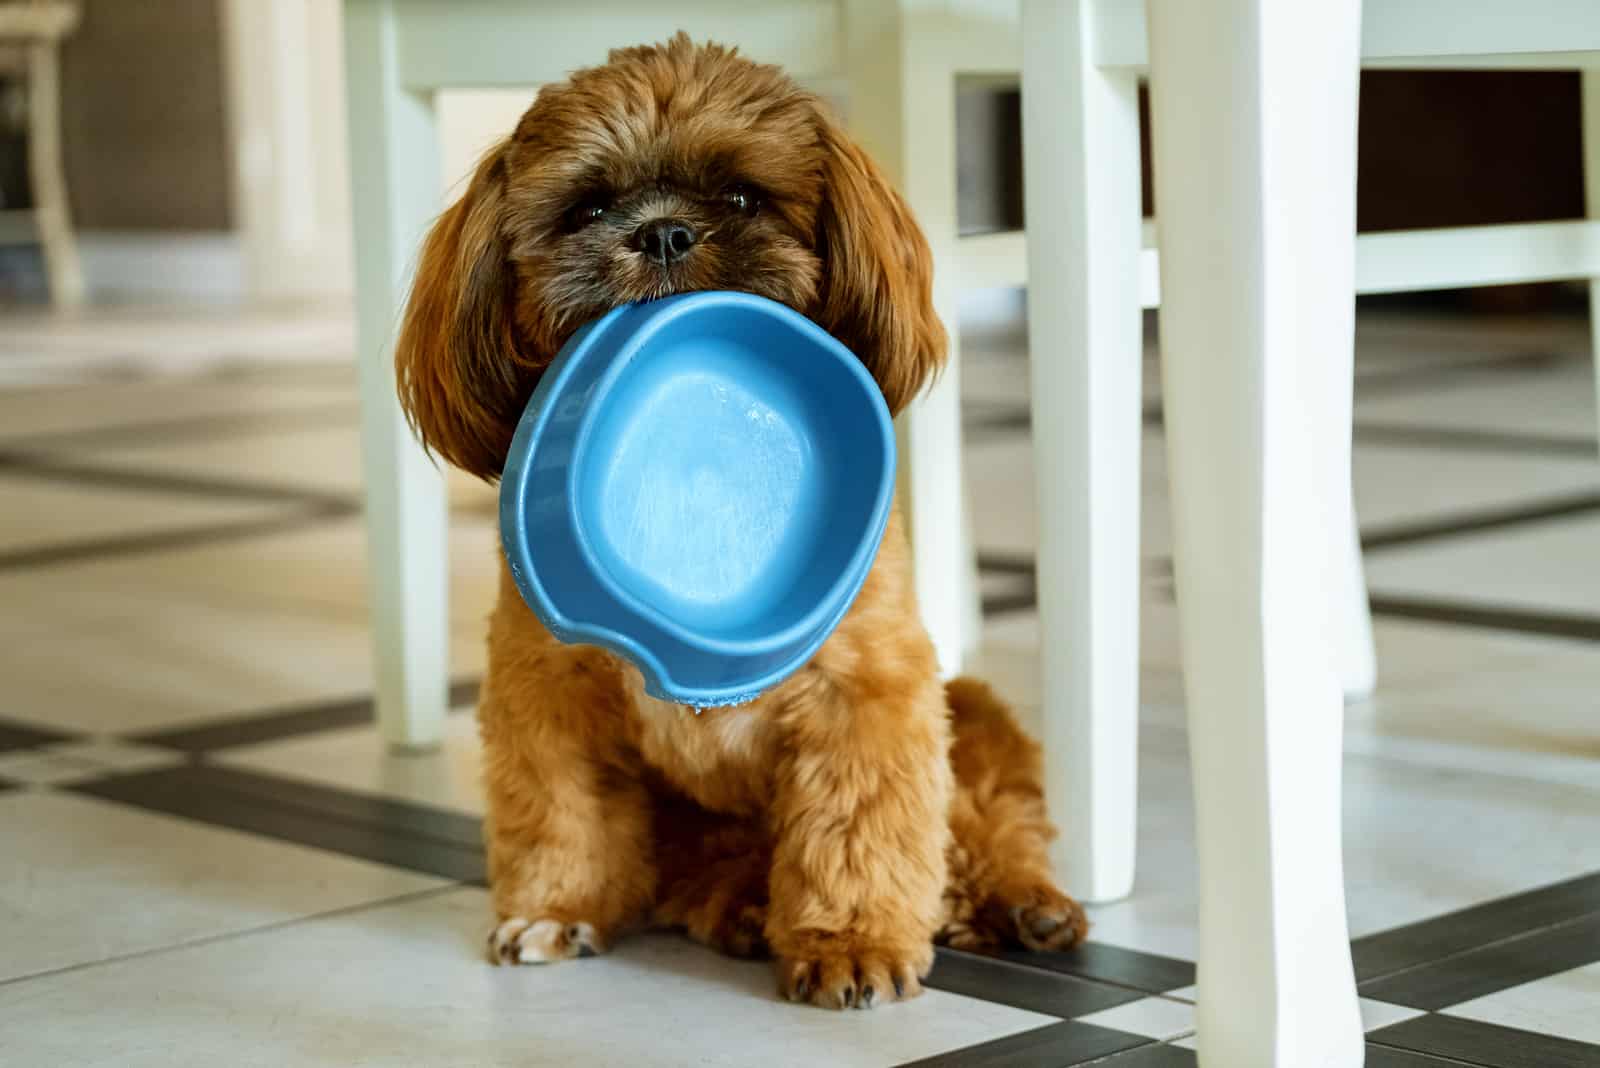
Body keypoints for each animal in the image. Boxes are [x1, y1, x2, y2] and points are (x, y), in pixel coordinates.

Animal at [396, 31, 1088, 1010]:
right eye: (588, 206)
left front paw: (852, 943)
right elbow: (556, 808)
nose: (663, 232)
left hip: (974, 706)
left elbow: (857, 825)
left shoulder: (865, 690)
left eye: (740, 197)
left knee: (988, 817)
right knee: (715, 863)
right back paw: (746, 906)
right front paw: (555, 907)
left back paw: (1017, 900)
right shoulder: (546, 692)